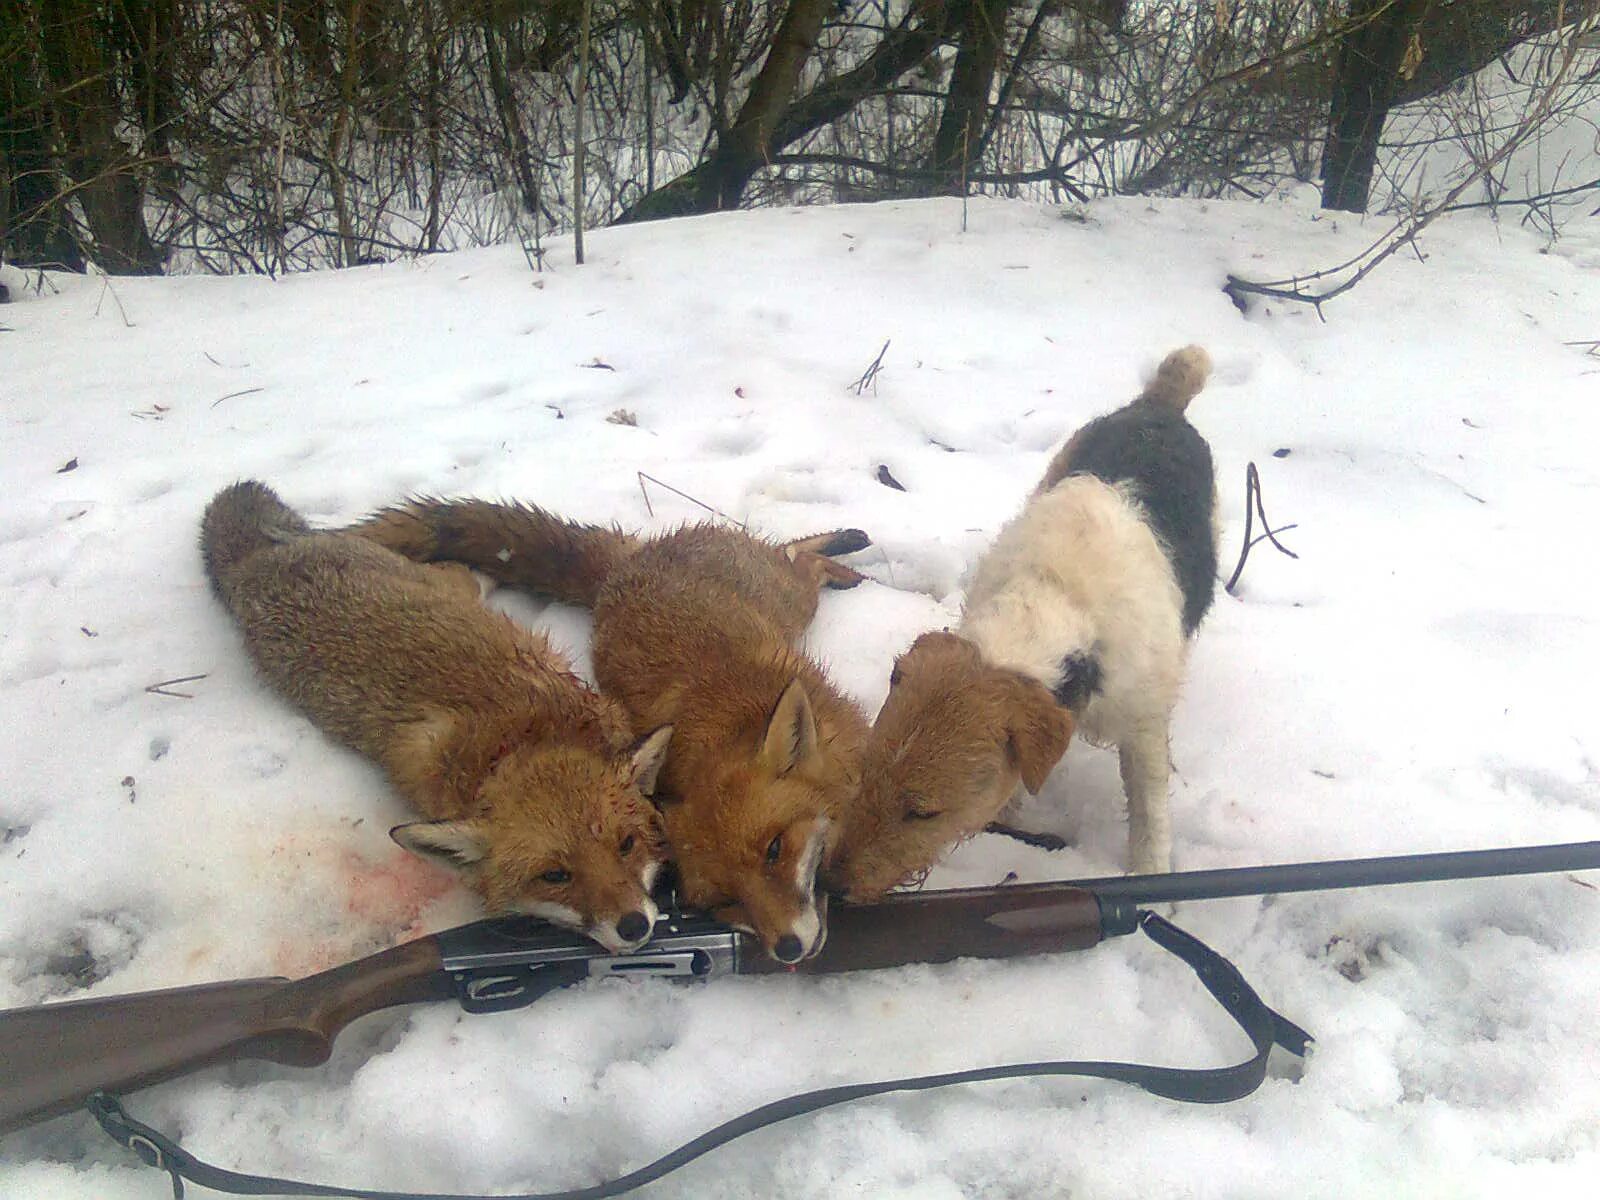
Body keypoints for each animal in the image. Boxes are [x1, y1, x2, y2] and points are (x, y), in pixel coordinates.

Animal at [353, 499, 876, 966]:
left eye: (775, 851)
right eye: (726, 902)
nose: (787, 950)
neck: (722, 724)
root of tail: (621, 570)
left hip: (793, 598)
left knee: (797, 556)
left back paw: (847, 553)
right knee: (794, 552)